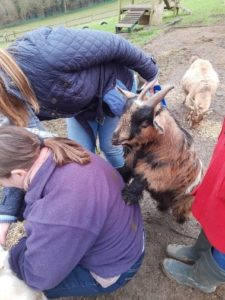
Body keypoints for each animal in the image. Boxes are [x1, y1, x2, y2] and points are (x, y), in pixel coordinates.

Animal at [111, 82, 203, 223]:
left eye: (144, 124)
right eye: (122, 114)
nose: (114, 139)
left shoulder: (158, 172)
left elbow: (140, 180)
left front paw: (127, 198)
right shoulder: (131, 160)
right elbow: (125, 171)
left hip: (185, 199)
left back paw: (181, 218)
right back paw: (162, 206)